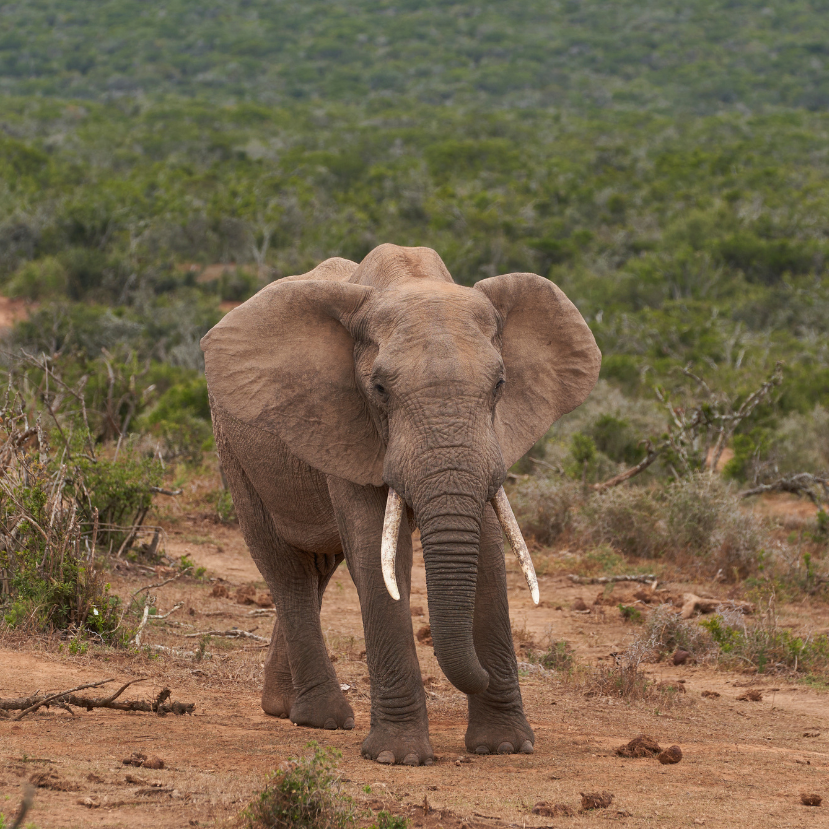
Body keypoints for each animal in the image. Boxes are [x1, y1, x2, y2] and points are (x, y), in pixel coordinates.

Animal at [201, 243, 600, 768]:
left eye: (499, 384)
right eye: (379, 390)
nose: (480, 676)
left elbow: (488, 555)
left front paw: (505, 747)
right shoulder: (346, 422)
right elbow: (376, 558)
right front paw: (399, 757)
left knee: (318, 569)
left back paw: (283, 707)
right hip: (235, 450)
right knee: (287, 569)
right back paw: (321, 718)